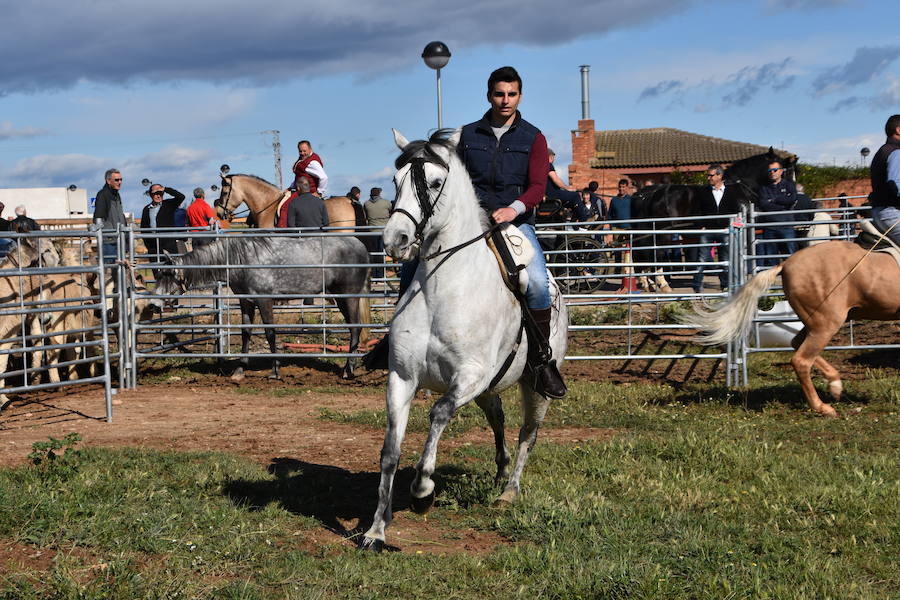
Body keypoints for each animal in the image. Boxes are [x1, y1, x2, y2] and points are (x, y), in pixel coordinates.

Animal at [360, 129, 568, 552]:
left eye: (435, 182)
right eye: (395, 180)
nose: (395, 239)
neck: (442, 289)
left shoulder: (469, 376)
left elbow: (439, 413)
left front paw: (423, 492)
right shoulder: (401, 377)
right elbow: (389, 451)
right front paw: (376, 529)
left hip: (534, 386)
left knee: (528, 433)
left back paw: (509, 491)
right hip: (489, 389)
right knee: (499, 419)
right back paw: (499, 473)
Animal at [628, 148, 800, 292]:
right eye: (784, 172)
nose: (793, 200)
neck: (740, 188)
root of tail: (649, 194)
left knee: (642, 253)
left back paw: (647, 283)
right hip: (662, 232)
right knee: (656, 254)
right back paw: (662, 284)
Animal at [684, 240, 900, 418]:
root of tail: (786, 264)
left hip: (816, 322)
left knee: (796, 343)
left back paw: (835, 386)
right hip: (827, 323)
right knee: (801, 360)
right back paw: (823, 407)